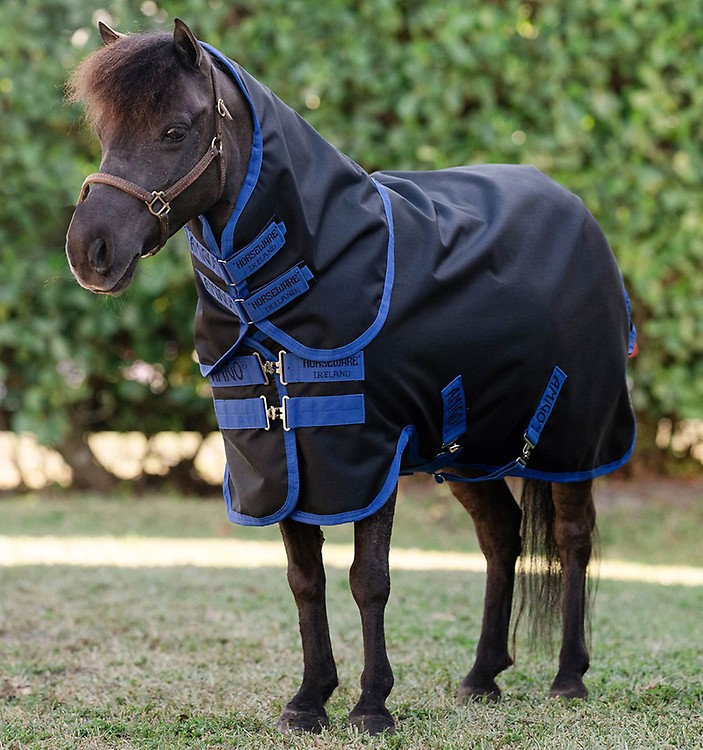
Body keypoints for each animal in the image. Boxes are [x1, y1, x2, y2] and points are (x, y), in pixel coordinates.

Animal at [65, 20, 636, 735]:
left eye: (173, 129)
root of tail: (578, 211)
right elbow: (305, 579)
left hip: (570, 439)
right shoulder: (279, 460)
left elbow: (370, 579)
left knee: (572, 538)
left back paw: (568, 678)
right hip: (465, 452)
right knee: (501, 536)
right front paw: (309, 699)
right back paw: (481, 677)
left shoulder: (370, 453)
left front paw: (372, 705)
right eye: (105, 132)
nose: (90, 251)